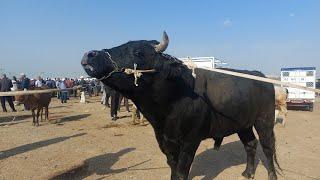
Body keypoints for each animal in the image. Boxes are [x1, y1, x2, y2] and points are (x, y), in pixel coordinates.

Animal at [80, 32, 280, 180]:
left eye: (138, 52)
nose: (90, 54)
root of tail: (260, 75)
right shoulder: (166, 141)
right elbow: (173, 168)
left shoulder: (190, 141)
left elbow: (182, 171)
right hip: (242, 124)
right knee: (250, 144)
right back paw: (248, 173)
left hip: (264, 121)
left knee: (267, 147)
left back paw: (271, 175)